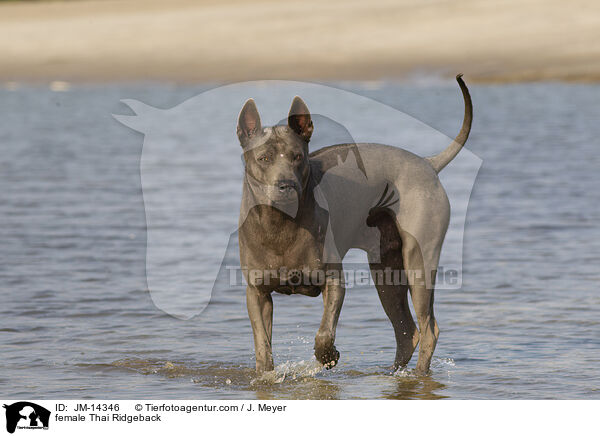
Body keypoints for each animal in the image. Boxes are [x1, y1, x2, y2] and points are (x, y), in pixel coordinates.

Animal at [237, 75, 472, 374]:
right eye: (264, 158)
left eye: (297, 156)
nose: (286, 185)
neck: (280, 222)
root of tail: (427, 163)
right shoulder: (257, 293)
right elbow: (262, 345)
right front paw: (265, 375)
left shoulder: (334, 281)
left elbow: (324, 332)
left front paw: (328, 356)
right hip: (386, 271)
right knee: (407, 331)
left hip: (418, 261)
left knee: (428, 328)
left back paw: (418, 376)